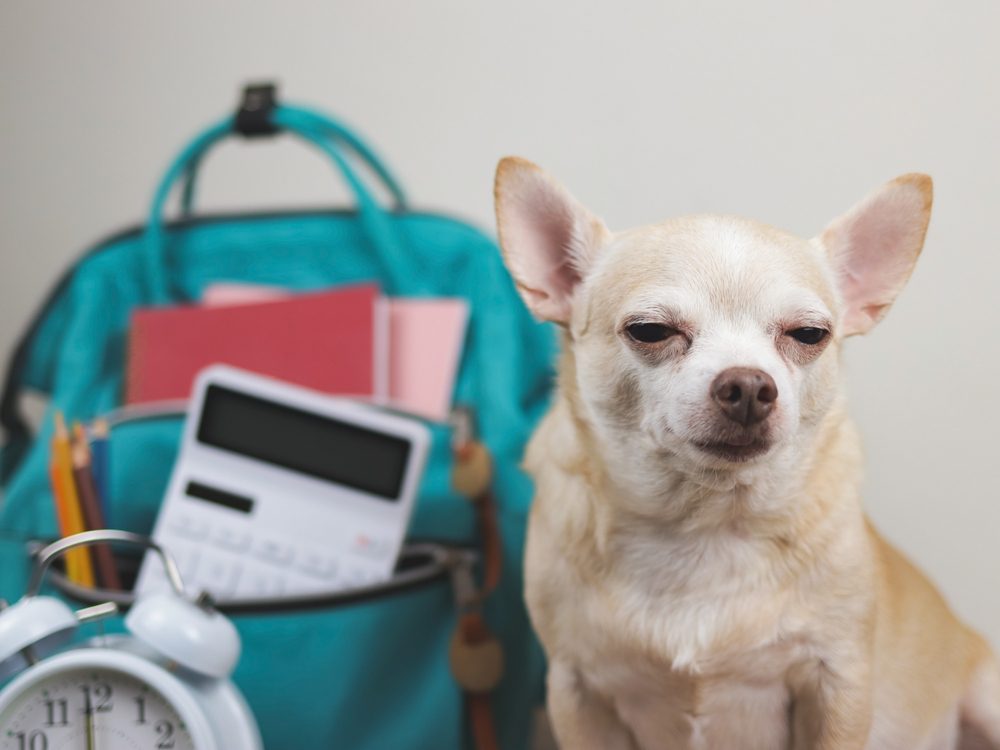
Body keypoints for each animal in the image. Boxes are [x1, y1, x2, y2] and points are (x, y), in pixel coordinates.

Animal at [496, 157, 1000, 748]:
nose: (749, 386)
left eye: (810, 335)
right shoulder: (576, 691)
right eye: (650, 330)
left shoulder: (838, 683)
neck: (703, 527)